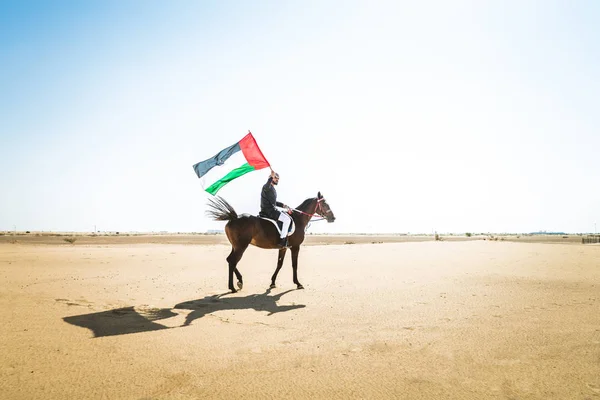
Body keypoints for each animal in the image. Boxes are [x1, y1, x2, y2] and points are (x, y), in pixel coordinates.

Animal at [205, 192, 338, 292]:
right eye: (325, 204)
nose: (333, 218)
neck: (298, 219)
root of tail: (234, 217)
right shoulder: (295, 247)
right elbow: (294, 265)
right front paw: (298, 283)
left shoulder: (283, 247)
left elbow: (279, 264)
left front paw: (273, 282)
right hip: (241, 246)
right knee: (233, 261)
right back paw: (232, 287)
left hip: (236, 246)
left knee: (230, 260)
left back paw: (239, 281)